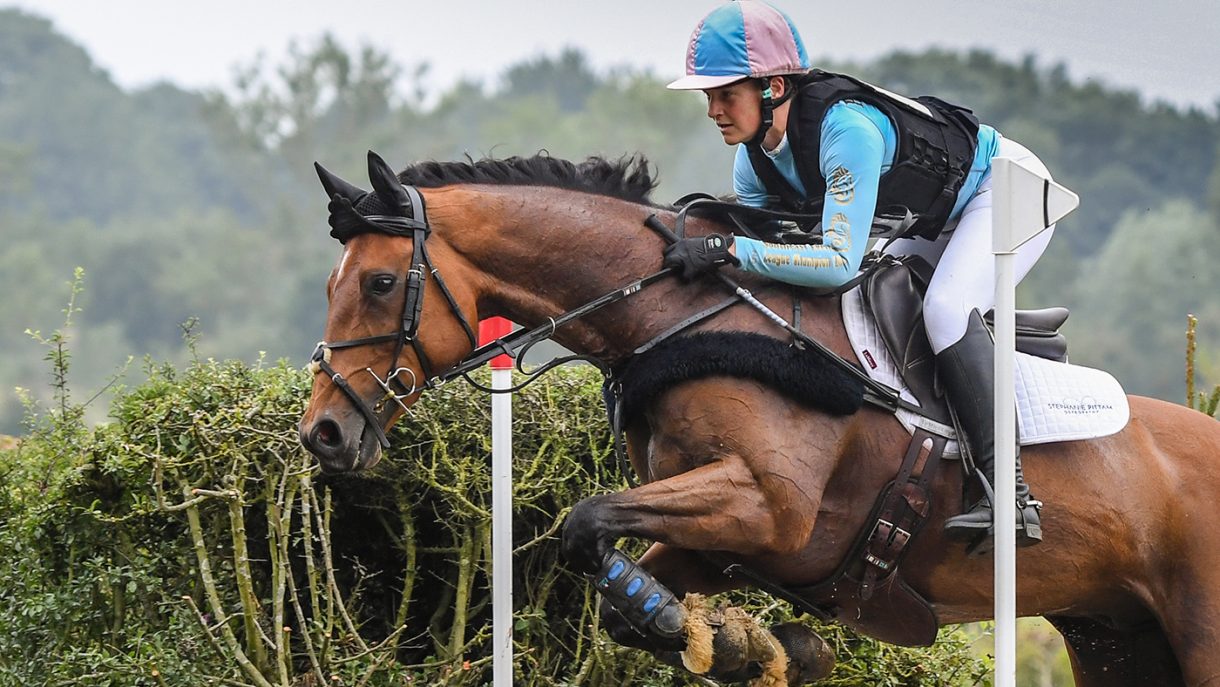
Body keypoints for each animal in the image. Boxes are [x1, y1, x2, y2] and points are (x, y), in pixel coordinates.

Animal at [298, 150, 1220, 686]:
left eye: (380, 282)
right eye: (332, 280)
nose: (323, 432)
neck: (684, 314)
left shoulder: (768, 508)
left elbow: (583, 519)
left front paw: (733, 640)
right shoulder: (722, 537)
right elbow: (620, 588)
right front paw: (748, 645)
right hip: (1118, 639)